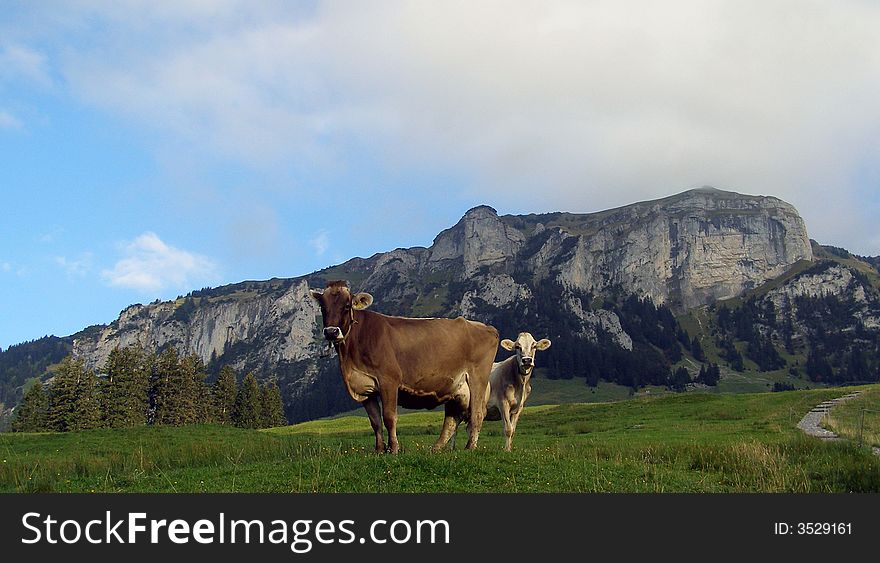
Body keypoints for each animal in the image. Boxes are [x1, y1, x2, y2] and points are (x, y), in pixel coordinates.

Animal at [312, 282, 498, 454]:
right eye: (323, 306)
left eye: (347, 305)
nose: (331, 332)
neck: (350, 356)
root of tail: (486, 327)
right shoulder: (365, 388)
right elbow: (375, 421)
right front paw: (379, 450)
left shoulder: (389, 380)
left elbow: (389, 417)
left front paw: (393, 449)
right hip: (455, 388)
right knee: (452, 420)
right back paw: (435, 449)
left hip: (477, 379)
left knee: (477, 414)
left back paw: (469, 447)